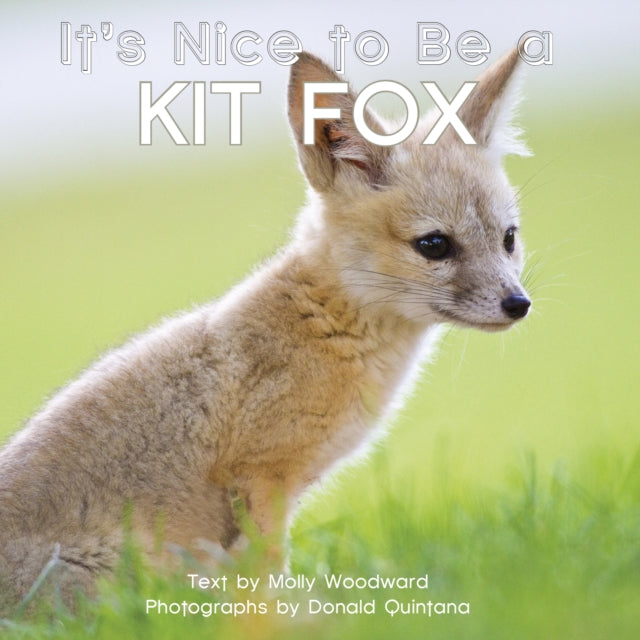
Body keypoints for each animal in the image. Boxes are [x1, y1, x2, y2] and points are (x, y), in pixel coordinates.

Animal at [0, 48, 532, 615]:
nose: (518, 304)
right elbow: (268, 575)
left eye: (508, 239)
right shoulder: (263, 476)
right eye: (434, 245)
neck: (324, 324)